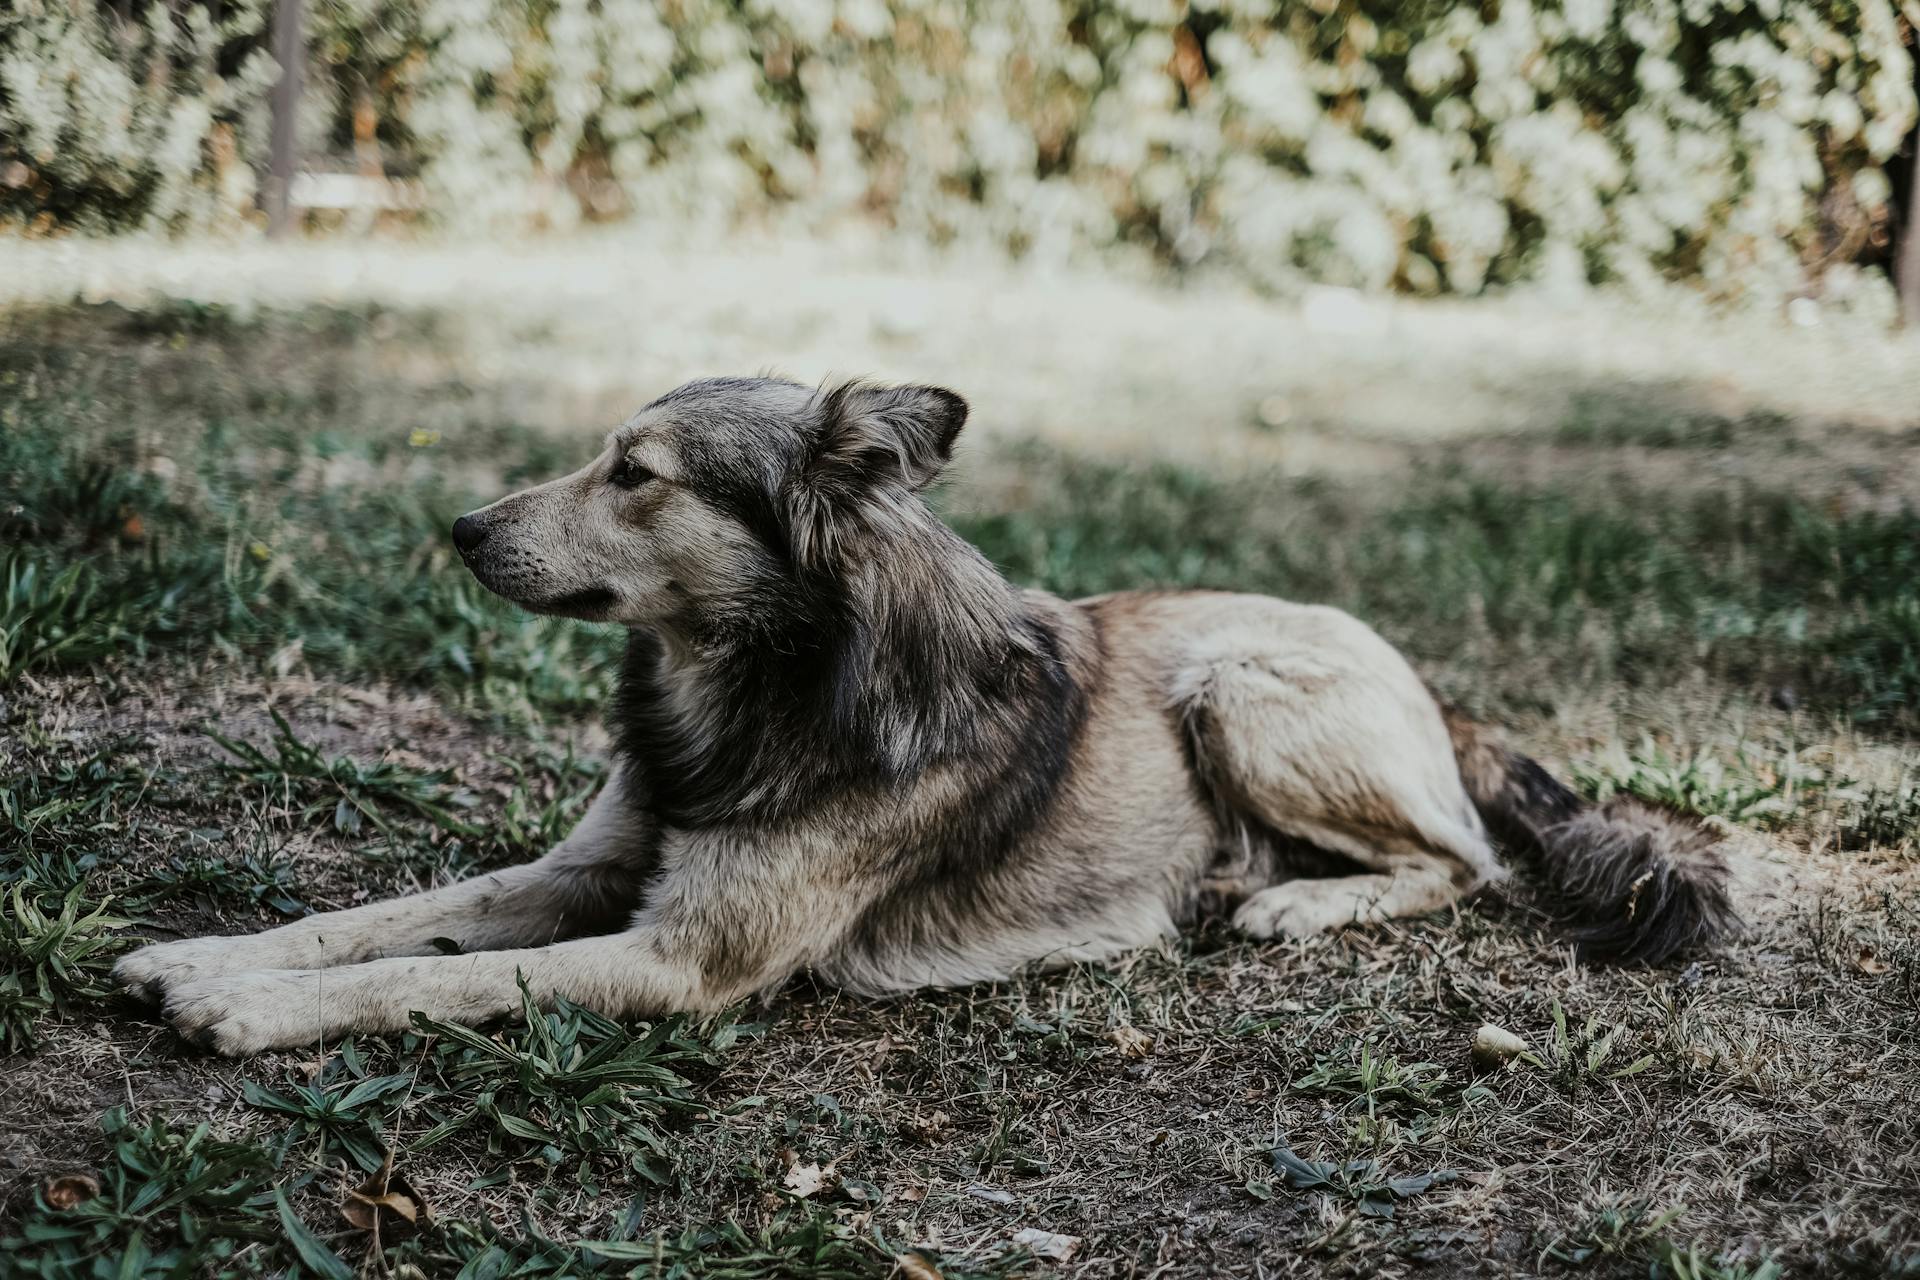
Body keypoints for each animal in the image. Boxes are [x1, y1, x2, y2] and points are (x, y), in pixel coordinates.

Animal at [120, 378, 1743, 1051]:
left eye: (634, 473)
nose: (456, 528)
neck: (751, 688)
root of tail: (1425, 681)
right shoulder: (589, 869)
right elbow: (389, 920)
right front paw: (201, 954)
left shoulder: (684, 961)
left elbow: (429, 981)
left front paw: (247, 1012)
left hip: (1238, 690)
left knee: (1460, 859)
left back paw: (1289, 902)